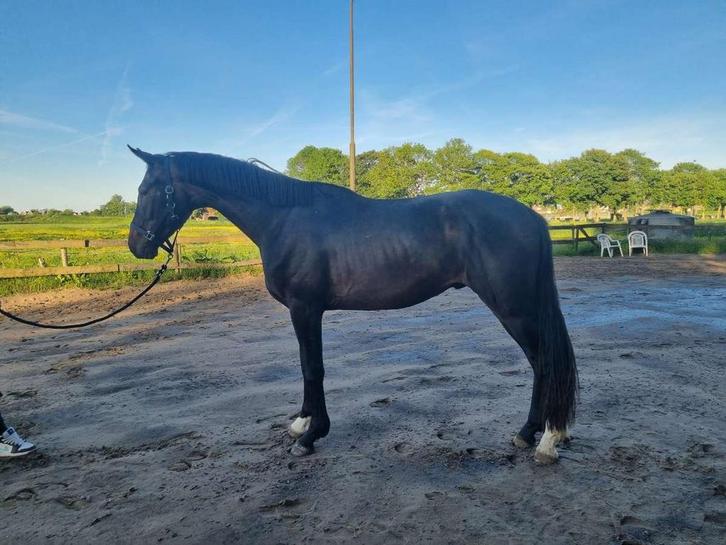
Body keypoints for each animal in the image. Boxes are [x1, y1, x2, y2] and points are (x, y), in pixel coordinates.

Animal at [127, 147, 578, 464]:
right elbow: (306, 367)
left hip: (514, 308)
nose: (137, 245)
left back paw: (547, 439)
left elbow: (313, 368)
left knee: (543, 362)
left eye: (147, 190)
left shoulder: (305, 308)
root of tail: (534, 219)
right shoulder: (304, 311)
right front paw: (301, 424)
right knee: (540, 364)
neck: (284, 218)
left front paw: (311, 436)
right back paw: (529, 433)